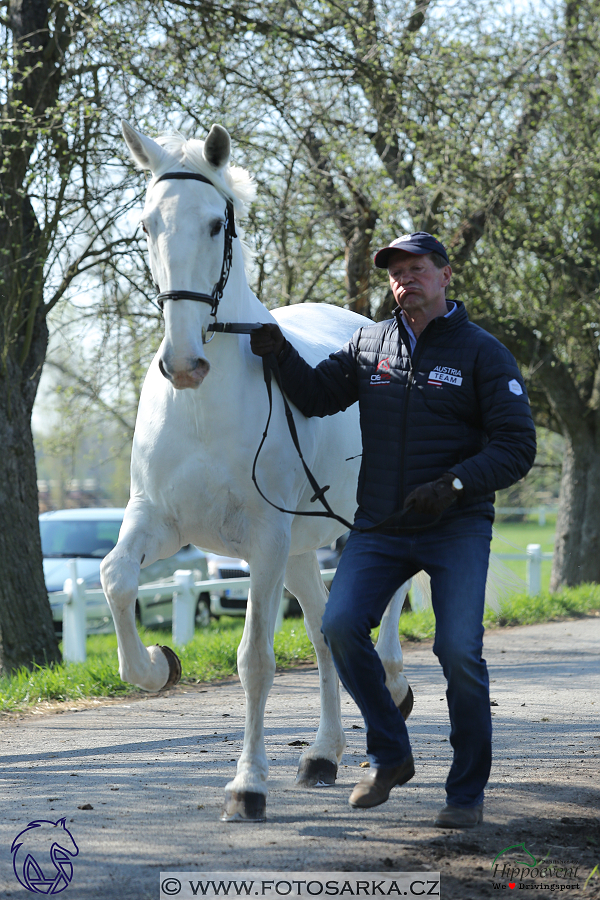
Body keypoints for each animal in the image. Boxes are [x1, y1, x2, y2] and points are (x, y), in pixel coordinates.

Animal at [102, 121, 412, 824]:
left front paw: (247, 786)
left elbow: (256, 660)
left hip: (355, 529)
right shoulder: (158, 521)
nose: (183, 362)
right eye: (146, 224)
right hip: (300, 551)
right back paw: (322, 755)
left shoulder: (265, 540)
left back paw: (394, 686)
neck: (203, 407)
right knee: (326, 635)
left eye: (216, 223)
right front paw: (157, 665)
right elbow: (115, 578)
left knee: (384, 612)